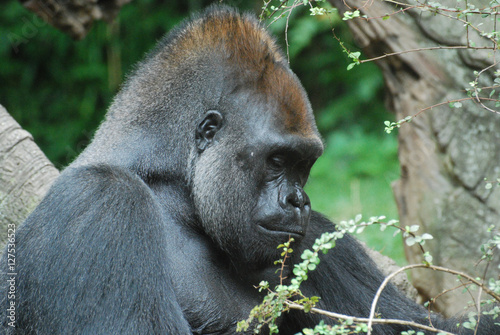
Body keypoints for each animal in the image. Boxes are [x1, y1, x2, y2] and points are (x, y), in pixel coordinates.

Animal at [0, 5, 500, 335]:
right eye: (277, 160)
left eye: (304, 164)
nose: (299, 200)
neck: (173, 190)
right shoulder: (100, 201)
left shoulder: (316, 237)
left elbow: (418, 325)